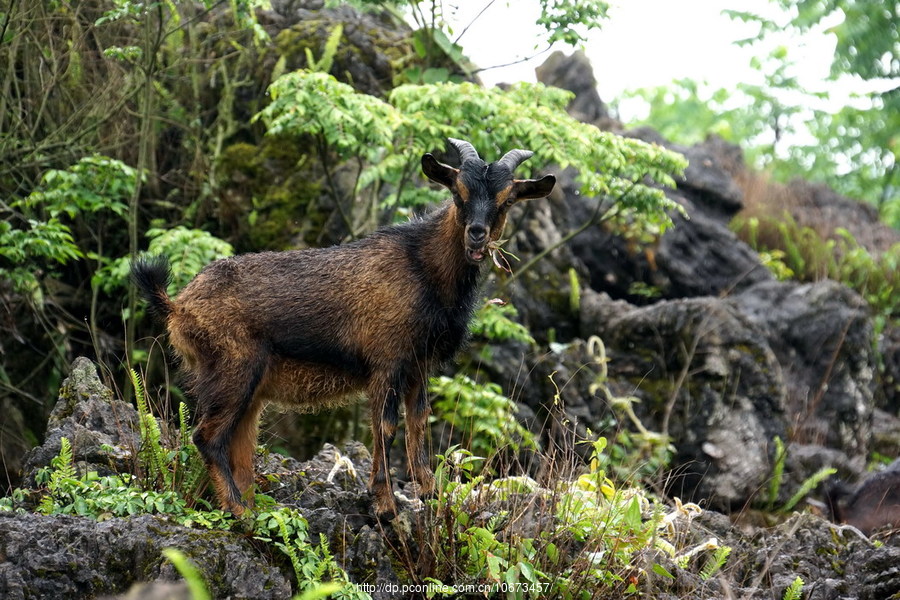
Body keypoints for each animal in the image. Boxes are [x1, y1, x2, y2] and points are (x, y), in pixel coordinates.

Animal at [133, 139, 556, 516]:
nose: (477, 234)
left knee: (240, 443)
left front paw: (431, 494)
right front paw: (385, 506)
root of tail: (177, 306)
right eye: (457, 191)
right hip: (233, 368)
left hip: (250, 387)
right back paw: (239, 511)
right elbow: (386, 427)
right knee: (207, 437)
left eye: (507, 199)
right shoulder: (387, 360)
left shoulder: (419, 364)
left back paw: (247, 506)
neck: (425, 270)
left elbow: (419, 422)